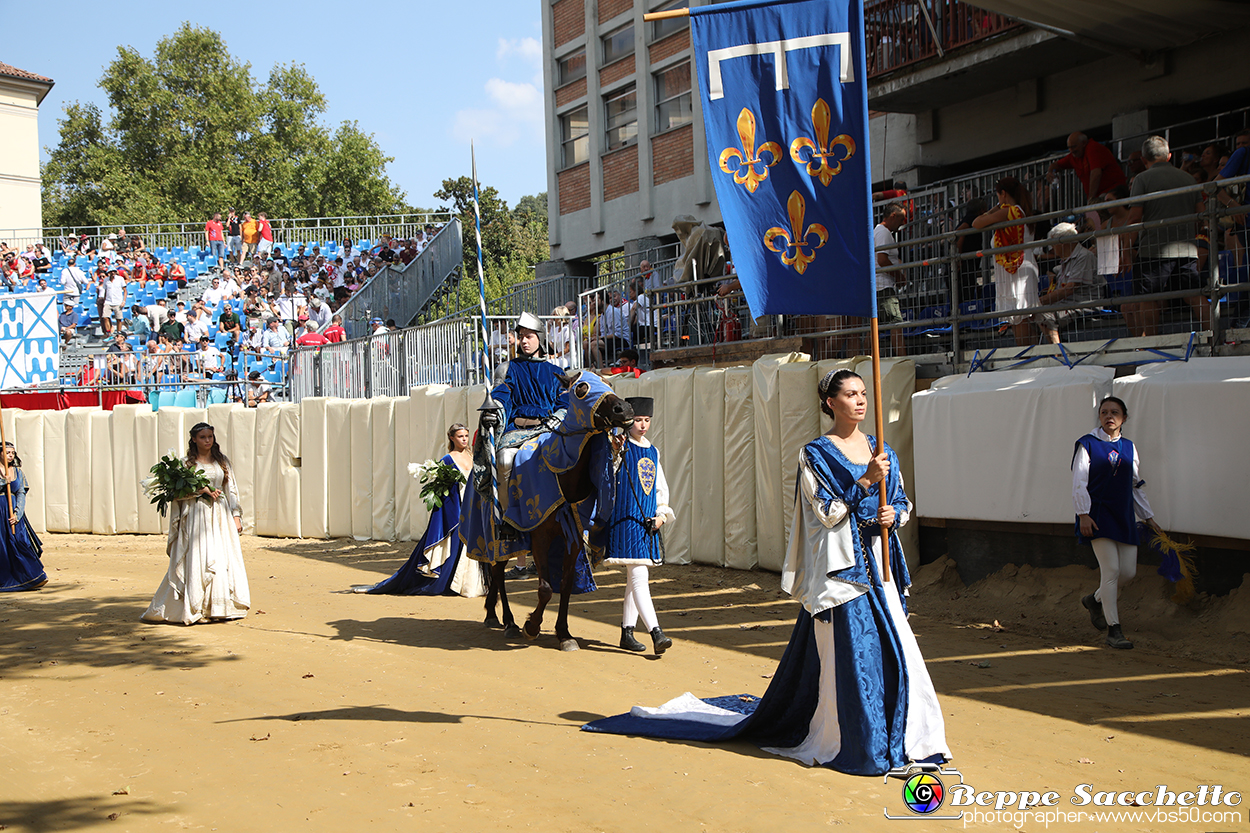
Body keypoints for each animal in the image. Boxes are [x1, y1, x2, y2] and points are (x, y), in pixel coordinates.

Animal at [465, 370, 630, 650]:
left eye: (608, 383)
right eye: (582, 389)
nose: (625, 409)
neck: (563, 472)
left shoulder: (572, 538)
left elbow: (564, 585)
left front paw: (564, 634)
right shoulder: (540, 536)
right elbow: (545, 588)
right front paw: (531, 627)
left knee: (497, 576)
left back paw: (493, 615)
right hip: (496, 540)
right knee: (497, 572)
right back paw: (509, 622)